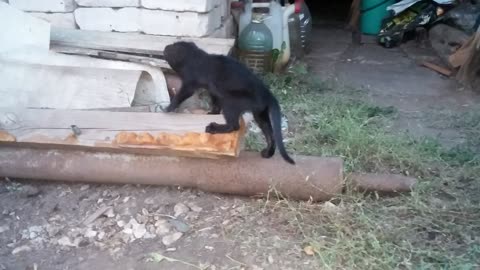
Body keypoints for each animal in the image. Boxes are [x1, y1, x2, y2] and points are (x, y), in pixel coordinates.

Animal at [163, 40, 294, 163]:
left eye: (172, 46)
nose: (165, 47)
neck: (196, 58)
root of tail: (268, 94)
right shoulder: (214, 91)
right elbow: (215, 103)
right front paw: (212, 113)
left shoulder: (189, 85)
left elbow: (179, 96)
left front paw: (168, 108)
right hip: (260, 114)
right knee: (270, 133)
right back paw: (268, 153)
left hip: (230, 101)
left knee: (234, 126)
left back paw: (213, 128)